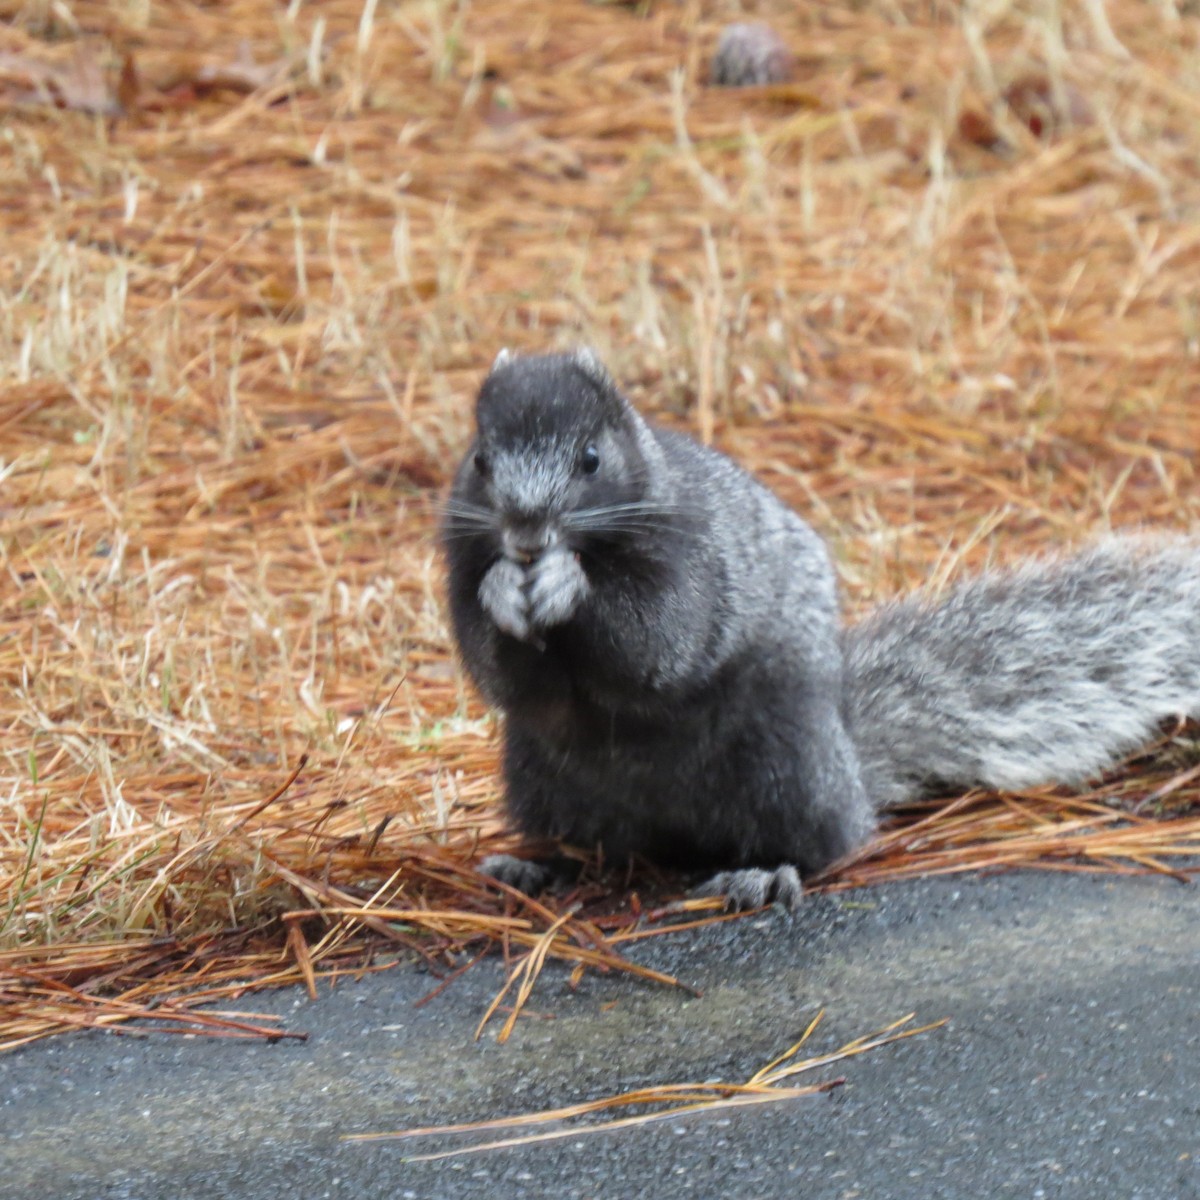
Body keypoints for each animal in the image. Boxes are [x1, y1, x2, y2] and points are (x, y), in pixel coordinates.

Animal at [441, 347, 1200, 909]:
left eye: (591, 460)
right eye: (479, 460)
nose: (526, 532)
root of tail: (853, 776)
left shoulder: (697, 558)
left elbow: (662, 638)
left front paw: (567, 584)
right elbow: (498, 668)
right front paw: (503, 590)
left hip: (784, 760)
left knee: (825, 844)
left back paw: (766, 874)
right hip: (541, 774)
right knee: (596, 846)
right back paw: (535, 870)